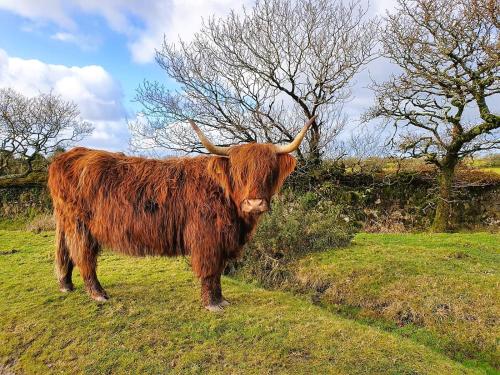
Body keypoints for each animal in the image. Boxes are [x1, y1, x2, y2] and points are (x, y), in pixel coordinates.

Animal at [47, 117, 312, 312]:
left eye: (269, 171)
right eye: (239, 173)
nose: (254, 203)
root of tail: (66, 156)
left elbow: (218, 271)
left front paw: (221, 300)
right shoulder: (207, 239)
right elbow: (210, 270)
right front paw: (213, 304)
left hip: (66, 222)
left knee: (65, 252)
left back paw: (66, 285)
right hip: (80, 225)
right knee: (83, 256)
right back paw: (98, 294)